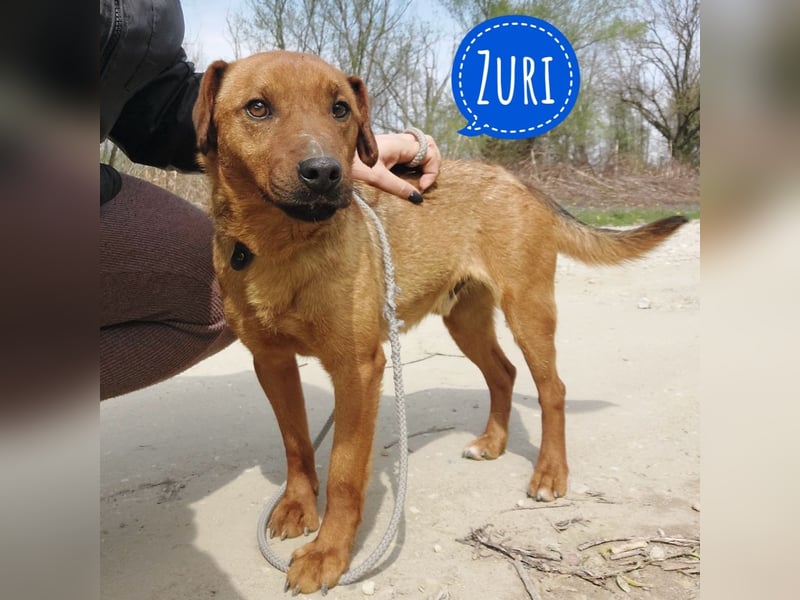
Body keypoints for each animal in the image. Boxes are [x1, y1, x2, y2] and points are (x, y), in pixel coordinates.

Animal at [192, 50, 686, 594]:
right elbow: (296, 445)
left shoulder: (358, 370)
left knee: (552, 388)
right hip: (465, 320)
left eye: (341, 109)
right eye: (257, 108)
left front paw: (328, 553)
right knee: (503, 373)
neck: (282, 245)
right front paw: (299, 507)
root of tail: (518, 180)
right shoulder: (273, 364)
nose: (324, 173)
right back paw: (492, 443)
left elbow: (344, 474)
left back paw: (550, 474)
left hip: (529, 310)